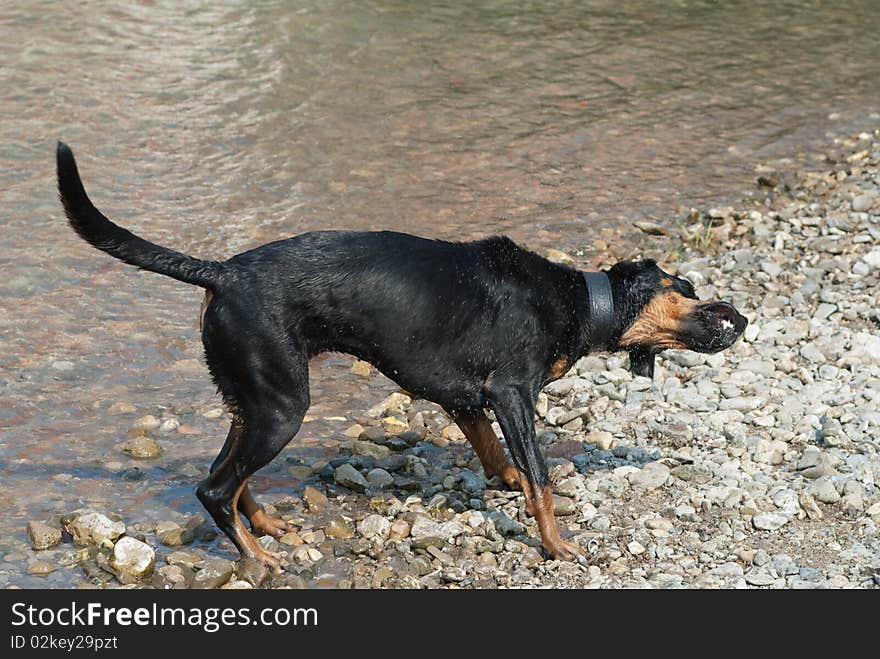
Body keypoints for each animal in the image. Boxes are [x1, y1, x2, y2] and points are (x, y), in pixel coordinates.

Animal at [55, 142, 744, 568]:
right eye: (687, 287)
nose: (740, 317)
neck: (580, 299)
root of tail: (220, 272)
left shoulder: (467, 399)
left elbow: (494, 455)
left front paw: (506, 482)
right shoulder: (511, 393)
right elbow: (542, 478)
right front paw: (556, 545)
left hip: (256, 397)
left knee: (231, 474)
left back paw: (266, 527)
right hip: (282, 406)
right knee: (212, 488)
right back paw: (259, 557)